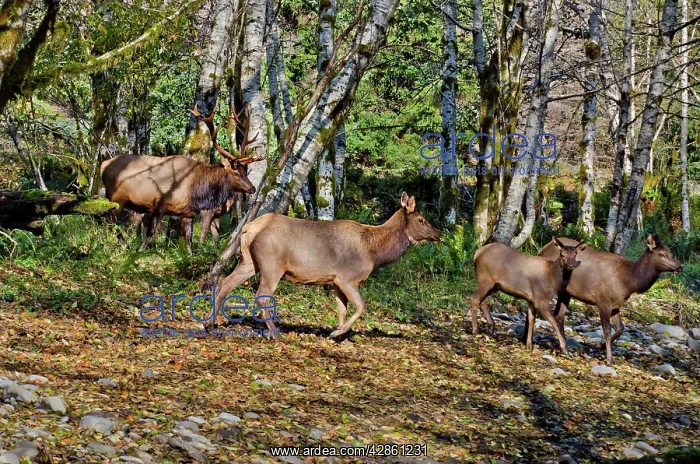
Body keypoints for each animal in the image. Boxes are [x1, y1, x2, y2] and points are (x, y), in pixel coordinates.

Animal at [101, 105, 264, 254]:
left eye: (245, 172)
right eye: (236, 172)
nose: (252, 188)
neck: (197, 191)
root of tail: (103, 165)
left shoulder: (187, 213)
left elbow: (188, 240)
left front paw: (191, 256)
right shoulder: (160, 204)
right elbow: (151, 233)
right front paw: (140, 251)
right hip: (118, 197)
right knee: (109, 217)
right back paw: (125, 244)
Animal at [210, 192, 442, 339]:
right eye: (421, 220)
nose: (438, 234)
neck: (374, 253)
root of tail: (248, 228)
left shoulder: (335, 281)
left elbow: (342, 310)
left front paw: (340, 335)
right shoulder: (348, 278)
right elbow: (361, 306)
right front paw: (336, 333)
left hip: (249, 261)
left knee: (225, 282)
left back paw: (213, 321)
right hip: (271, 264)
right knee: (261, 296)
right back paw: (275, 333)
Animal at [522, 234, 683, 365]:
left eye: (671, 253)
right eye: (662, 254)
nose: (679, 267)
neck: (629, 282)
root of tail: (543, 249)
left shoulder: (616, 305)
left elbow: (620, 328)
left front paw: (598, 346)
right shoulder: (603, 301)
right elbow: (606, 330)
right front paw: (609, 359)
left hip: (566, 292)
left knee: (558, 316)